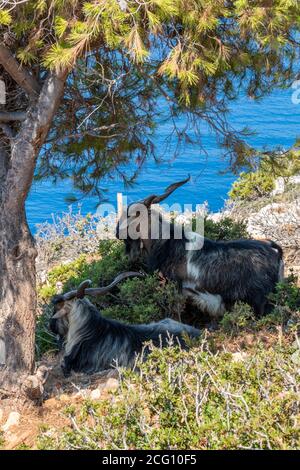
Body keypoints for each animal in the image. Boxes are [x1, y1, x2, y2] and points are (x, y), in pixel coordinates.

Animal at [116, 178, 284, 318]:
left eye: (131, 215)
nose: (117, 232)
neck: (164, 243)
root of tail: (275, 252)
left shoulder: (174, 287)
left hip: (259, 300)